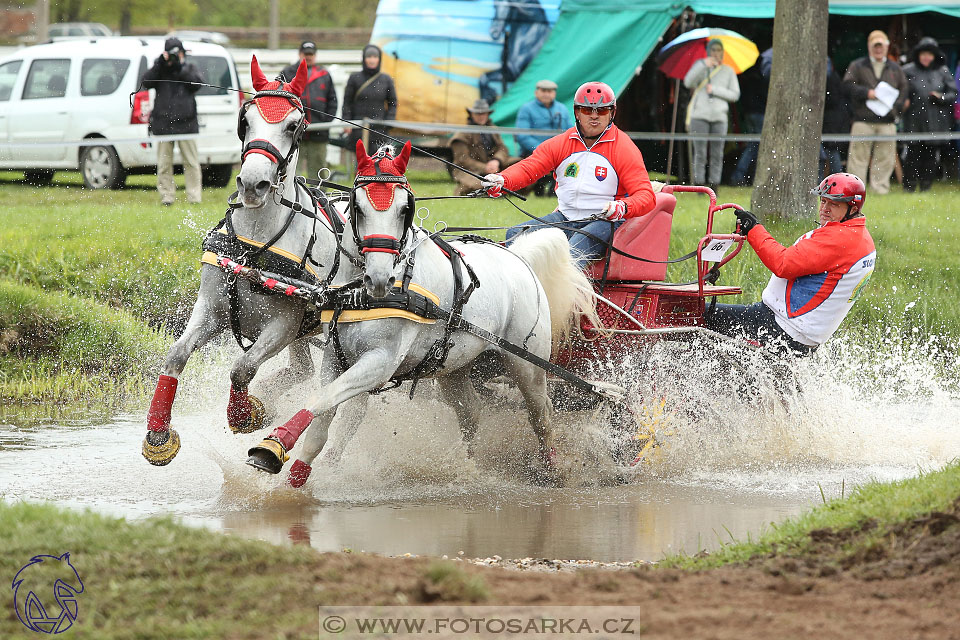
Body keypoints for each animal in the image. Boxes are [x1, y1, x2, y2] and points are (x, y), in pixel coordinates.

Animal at [141, 56, 350, 464]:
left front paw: (245, 414)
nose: (253, 184)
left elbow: (242, 368)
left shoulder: (285, 324)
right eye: (246, 119)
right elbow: (176, 354)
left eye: (292, 125)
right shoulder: (213, 308)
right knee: (300, 371)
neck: (254, 247)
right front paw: (158, 434)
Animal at [246, 140, 600, 484]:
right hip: (454, 366)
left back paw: (551, 469)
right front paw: (295, 468)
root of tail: (518, 258)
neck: (362, 295)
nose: (379, 278)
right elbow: (324, 411)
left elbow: (321, 401)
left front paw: (274, 445)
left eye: (406, 209)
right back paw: (465, 465)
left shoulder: (380, 363)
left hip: (527, 364)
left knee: (540, 413)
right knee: (471, 411)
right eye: (357, 207)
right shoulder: (336, 357)